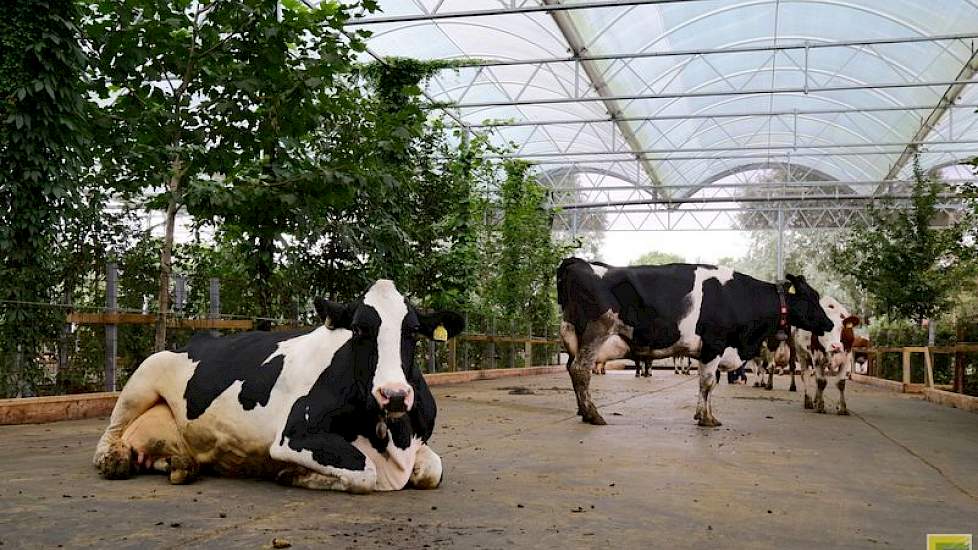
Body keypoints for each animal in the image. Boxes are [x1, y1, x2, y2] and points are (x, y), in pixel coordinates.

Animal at [94, 282, 466, 494]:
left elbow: (433, 471)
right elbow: (364, 473)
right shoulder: (296, 435)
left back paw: (180, 464)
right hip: (143, 375)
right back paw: (114, 460)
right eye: (360, 329)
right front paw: (293, 474)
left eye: (413, 331)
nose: (395, 394)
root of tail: (195, 340)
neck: (388, 433)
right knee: (112, 432)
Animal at [556, 260, 840, 430]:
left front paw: (709, 415)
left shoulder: (714, 350)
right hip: (596, 332)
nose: (828, 324)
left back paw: (582, 410)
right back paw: (592, 414)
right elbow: (707, 382)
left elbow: (711, 384)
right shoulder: (714, 343)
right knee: (581, 370)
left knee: (572, 369)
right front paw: (705, 419)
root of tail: (579, 262)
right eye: (813, 298)